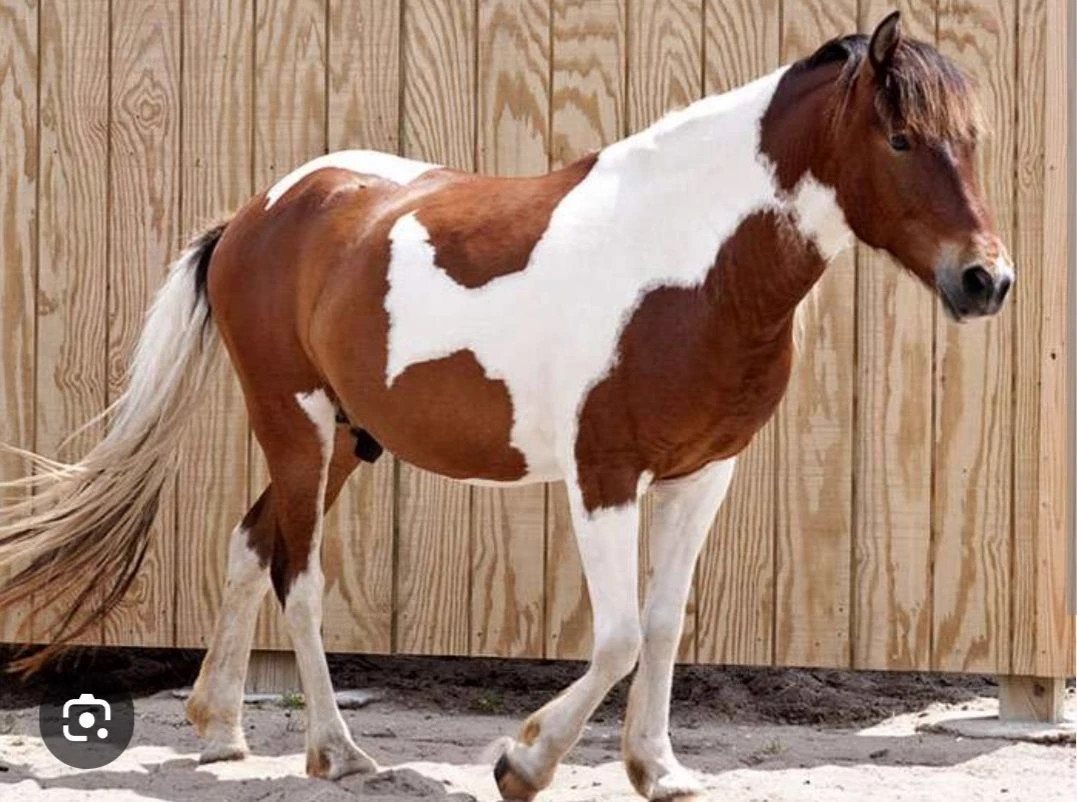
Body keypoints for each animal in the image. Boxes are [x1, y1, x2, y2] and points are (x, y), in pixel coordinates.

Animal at [0, 11, 1011, 801]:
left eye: (971, 141)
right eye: (900, 141)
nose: (986, 281)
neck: (691, 266)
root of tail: (257, 212)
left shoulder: (700, 475)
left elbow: (661, 624)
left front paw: (658, 769)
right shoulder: (604, 475)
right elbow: (615, 636)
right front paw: (523, 763)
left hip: (344, 440)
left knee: (251, 546)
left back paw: (219, 729)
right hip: (297, 425)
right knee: (300, 576)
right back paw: (337, 751)